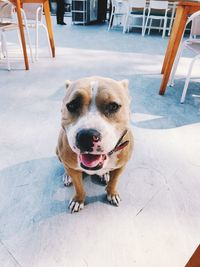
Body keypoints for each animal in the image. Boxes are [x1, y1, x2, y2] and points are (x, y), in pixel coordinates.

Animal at [55, 77, 133, 214]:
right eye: (72, 105)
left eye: (113, 106)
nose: (86, 137)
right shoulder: (72, 168)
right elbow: (79, 187)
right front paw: (78, 200)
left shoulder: (121, 166)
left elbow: (114, 181)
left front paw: (112, 193)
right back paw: (67, 176)